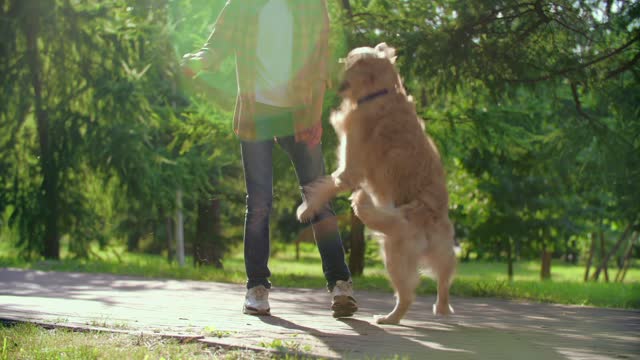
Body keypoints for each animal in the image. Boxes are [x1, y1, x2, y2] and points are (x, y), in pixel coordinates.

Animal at [298, 43, 458, 324]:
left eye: (345, 61)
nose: (328, 67)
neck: (378, 93)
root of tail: (426, 217)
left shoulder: (349, 170)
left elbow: (322, 188)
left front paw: (305, 209)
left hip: (392, 253)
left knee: (407, 295)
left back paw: (388, 318)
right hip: (443, 253)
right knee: (443, 282)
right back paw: (441, 309)